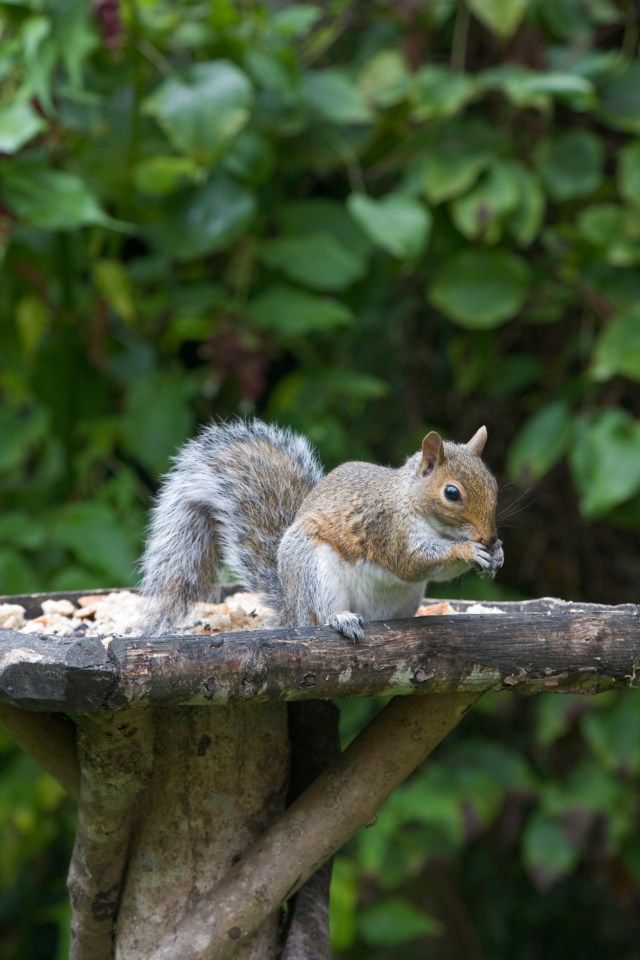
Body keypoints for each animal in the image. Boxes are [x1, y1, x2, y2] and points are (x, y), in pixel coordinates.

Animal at [140, 418, 504, 636]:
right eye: (452, 493)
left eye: (493, 483)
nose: (489, 536)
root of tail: (292, 611)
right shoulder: (386, 528)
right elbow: (411, 562)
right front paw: (468, 550)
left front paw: (497, 554)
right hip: (316, 572)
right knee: (319, 615)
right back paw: (340, 618)